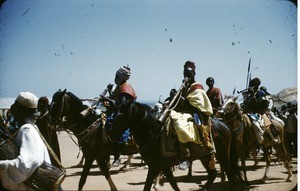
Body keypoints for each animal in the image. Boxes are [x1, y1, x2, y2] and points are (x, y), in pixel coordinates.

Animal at [109, 101, 245, 191]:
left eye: (121, 117)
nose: (111, 136)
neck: (153, 133)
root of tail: (225, 126)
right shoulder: (163, 166)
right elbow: (173, 184)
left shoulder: (154, 166)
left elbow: (147, 186)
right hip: (205, 157)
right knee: (213, 174)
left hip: (222, 156)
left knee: (229, 174)